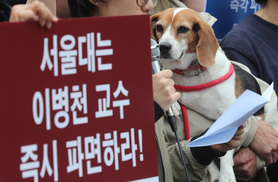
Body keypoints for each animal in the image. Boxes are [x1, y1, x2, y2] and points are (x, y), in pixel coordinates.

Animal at [152, 7, 262, 181]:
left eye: (183, 29)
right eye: (159, 27)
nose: (163, 47)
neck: (191, 72)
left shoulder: (228, 113)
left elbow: (226, 149)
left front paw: (226, 173)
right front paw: (172, 103)